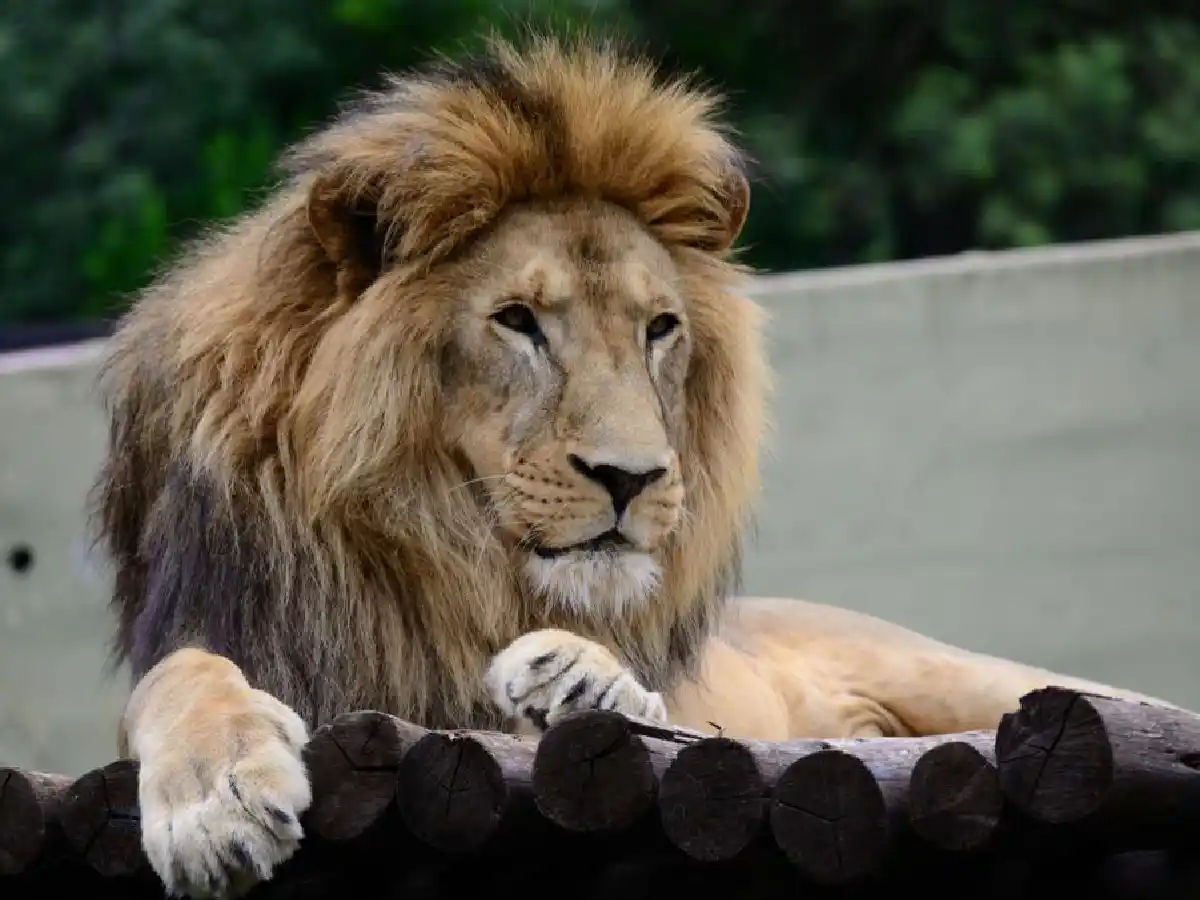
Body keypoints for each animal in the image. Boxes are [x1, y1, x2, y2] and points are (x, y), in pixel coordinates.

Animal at [93, 32, 1177, 899]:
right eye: (517, 322)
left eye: (659, 328)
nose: (633, 478)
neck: (443, 568)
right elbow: (178, 680)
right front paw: (217, 803)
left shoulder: (692, 716)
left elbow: (660, 715)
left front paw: (578, 677)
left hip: (971, 678)